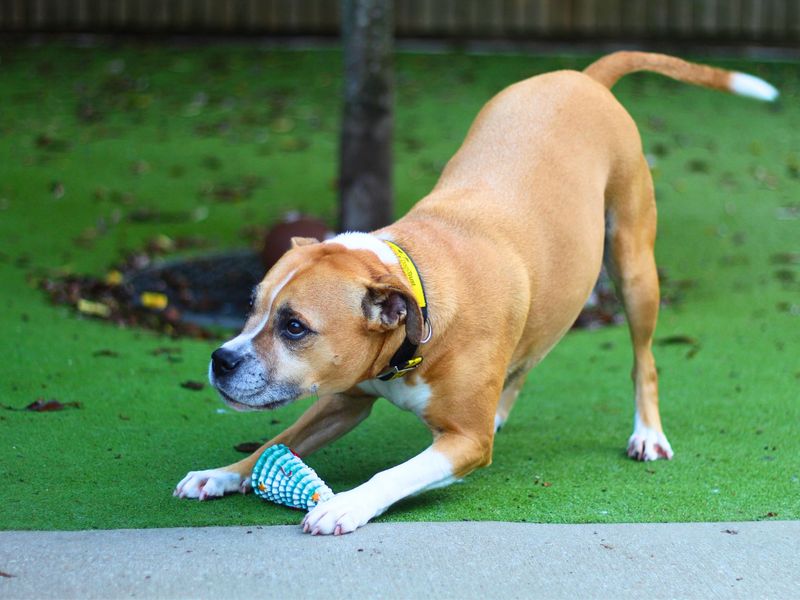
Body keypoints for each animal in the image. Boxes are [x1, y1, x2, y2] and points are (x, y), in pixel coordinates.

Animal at [173, 52, 776, 536]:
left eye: (295, 326)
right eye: (251, 307)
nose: (221, 359)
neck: (416, 300)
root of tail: (583, 78)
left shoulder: (464, 441)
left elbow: (395, 473)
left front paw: (346, 504)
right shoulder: (344, 398)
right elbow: (279, 440)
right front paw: (222, 475)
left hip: (634, 267)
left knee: (642, 359)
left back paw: (647, 433)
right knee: (531, 352)